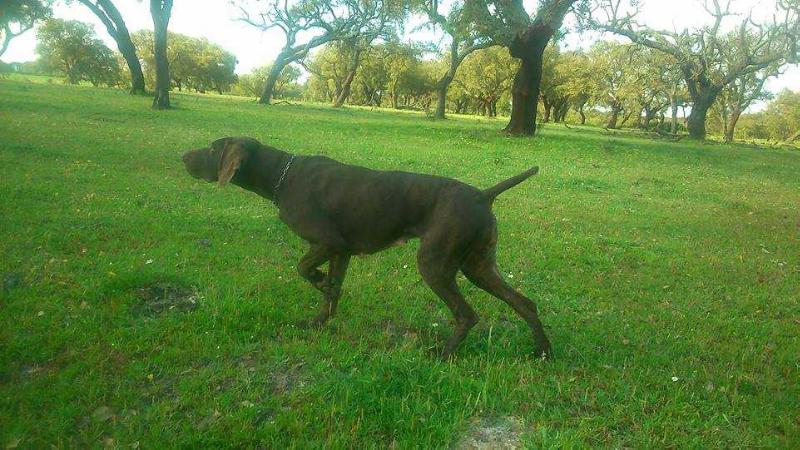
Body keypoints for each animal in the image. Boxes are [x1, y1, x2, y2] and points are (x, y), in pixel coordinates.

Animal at [181, 137, 552, 358]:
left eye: (213, 150)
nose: (183, 156)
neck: (281, 175)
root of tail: (482, 195)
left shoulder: (327, 242)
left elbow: (302, 268)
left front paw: (319, 283)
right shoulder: (341, 251)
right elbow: (332, 293)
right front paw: (319, 322)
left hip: (435, 264)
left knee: (467, 314)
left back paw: (443, 355)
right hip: (477, 266)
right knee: (525, 303)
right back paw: (543, 352)